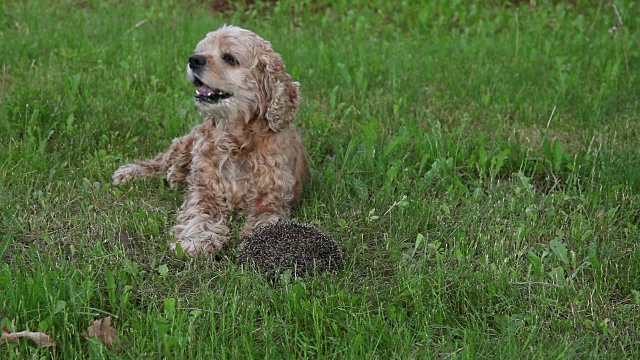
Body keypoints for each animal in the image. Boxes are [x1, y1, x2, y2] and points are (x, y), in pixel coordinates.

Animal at [114, 25, 312, 256]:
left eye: (229, 58)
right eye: (202, 50)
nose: (194, 59)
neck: (235, 140)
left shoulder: (271, 199)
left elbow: (265, 222)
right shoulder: (205, 189)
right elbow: (200, 213)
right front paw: (196, 240)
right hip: (187, 144)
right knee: (162, 161)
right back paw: (131, 173)